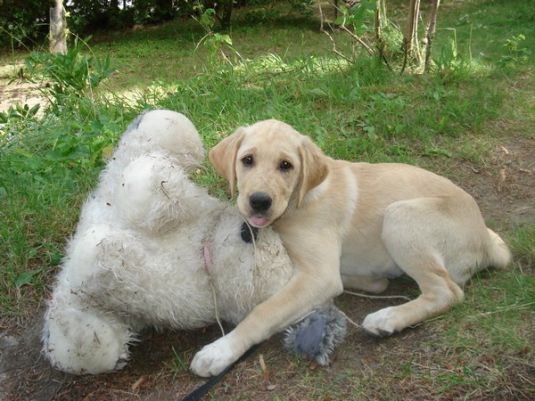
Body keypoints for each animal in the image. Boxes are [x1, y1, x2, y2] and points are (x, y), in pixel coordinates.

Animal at [191, 118, 512, 376]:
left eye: (286, 166)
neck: (296, 202)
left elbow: (265, 311)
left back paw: (387, 318)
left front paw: (219, 351)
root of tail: (485, 239)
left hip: (399, 217)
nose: (259, 201)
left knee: (446, 291)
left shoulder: (319, 276)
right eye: (247, 160)